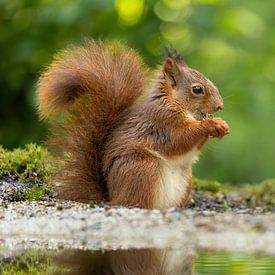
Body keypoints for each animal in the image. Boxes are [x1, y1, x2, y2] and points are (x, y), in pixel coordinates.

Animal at [37, 40, 230, 209]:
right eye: (197, 89)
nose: (220, 106)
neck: (173, 102)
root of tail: (112, 196)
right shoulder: (161, 121)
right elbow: (179, 140)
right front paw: (212, 124)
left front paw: (221, 126)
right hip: (144, 169)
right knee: (137, 201)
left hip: (184, 178)